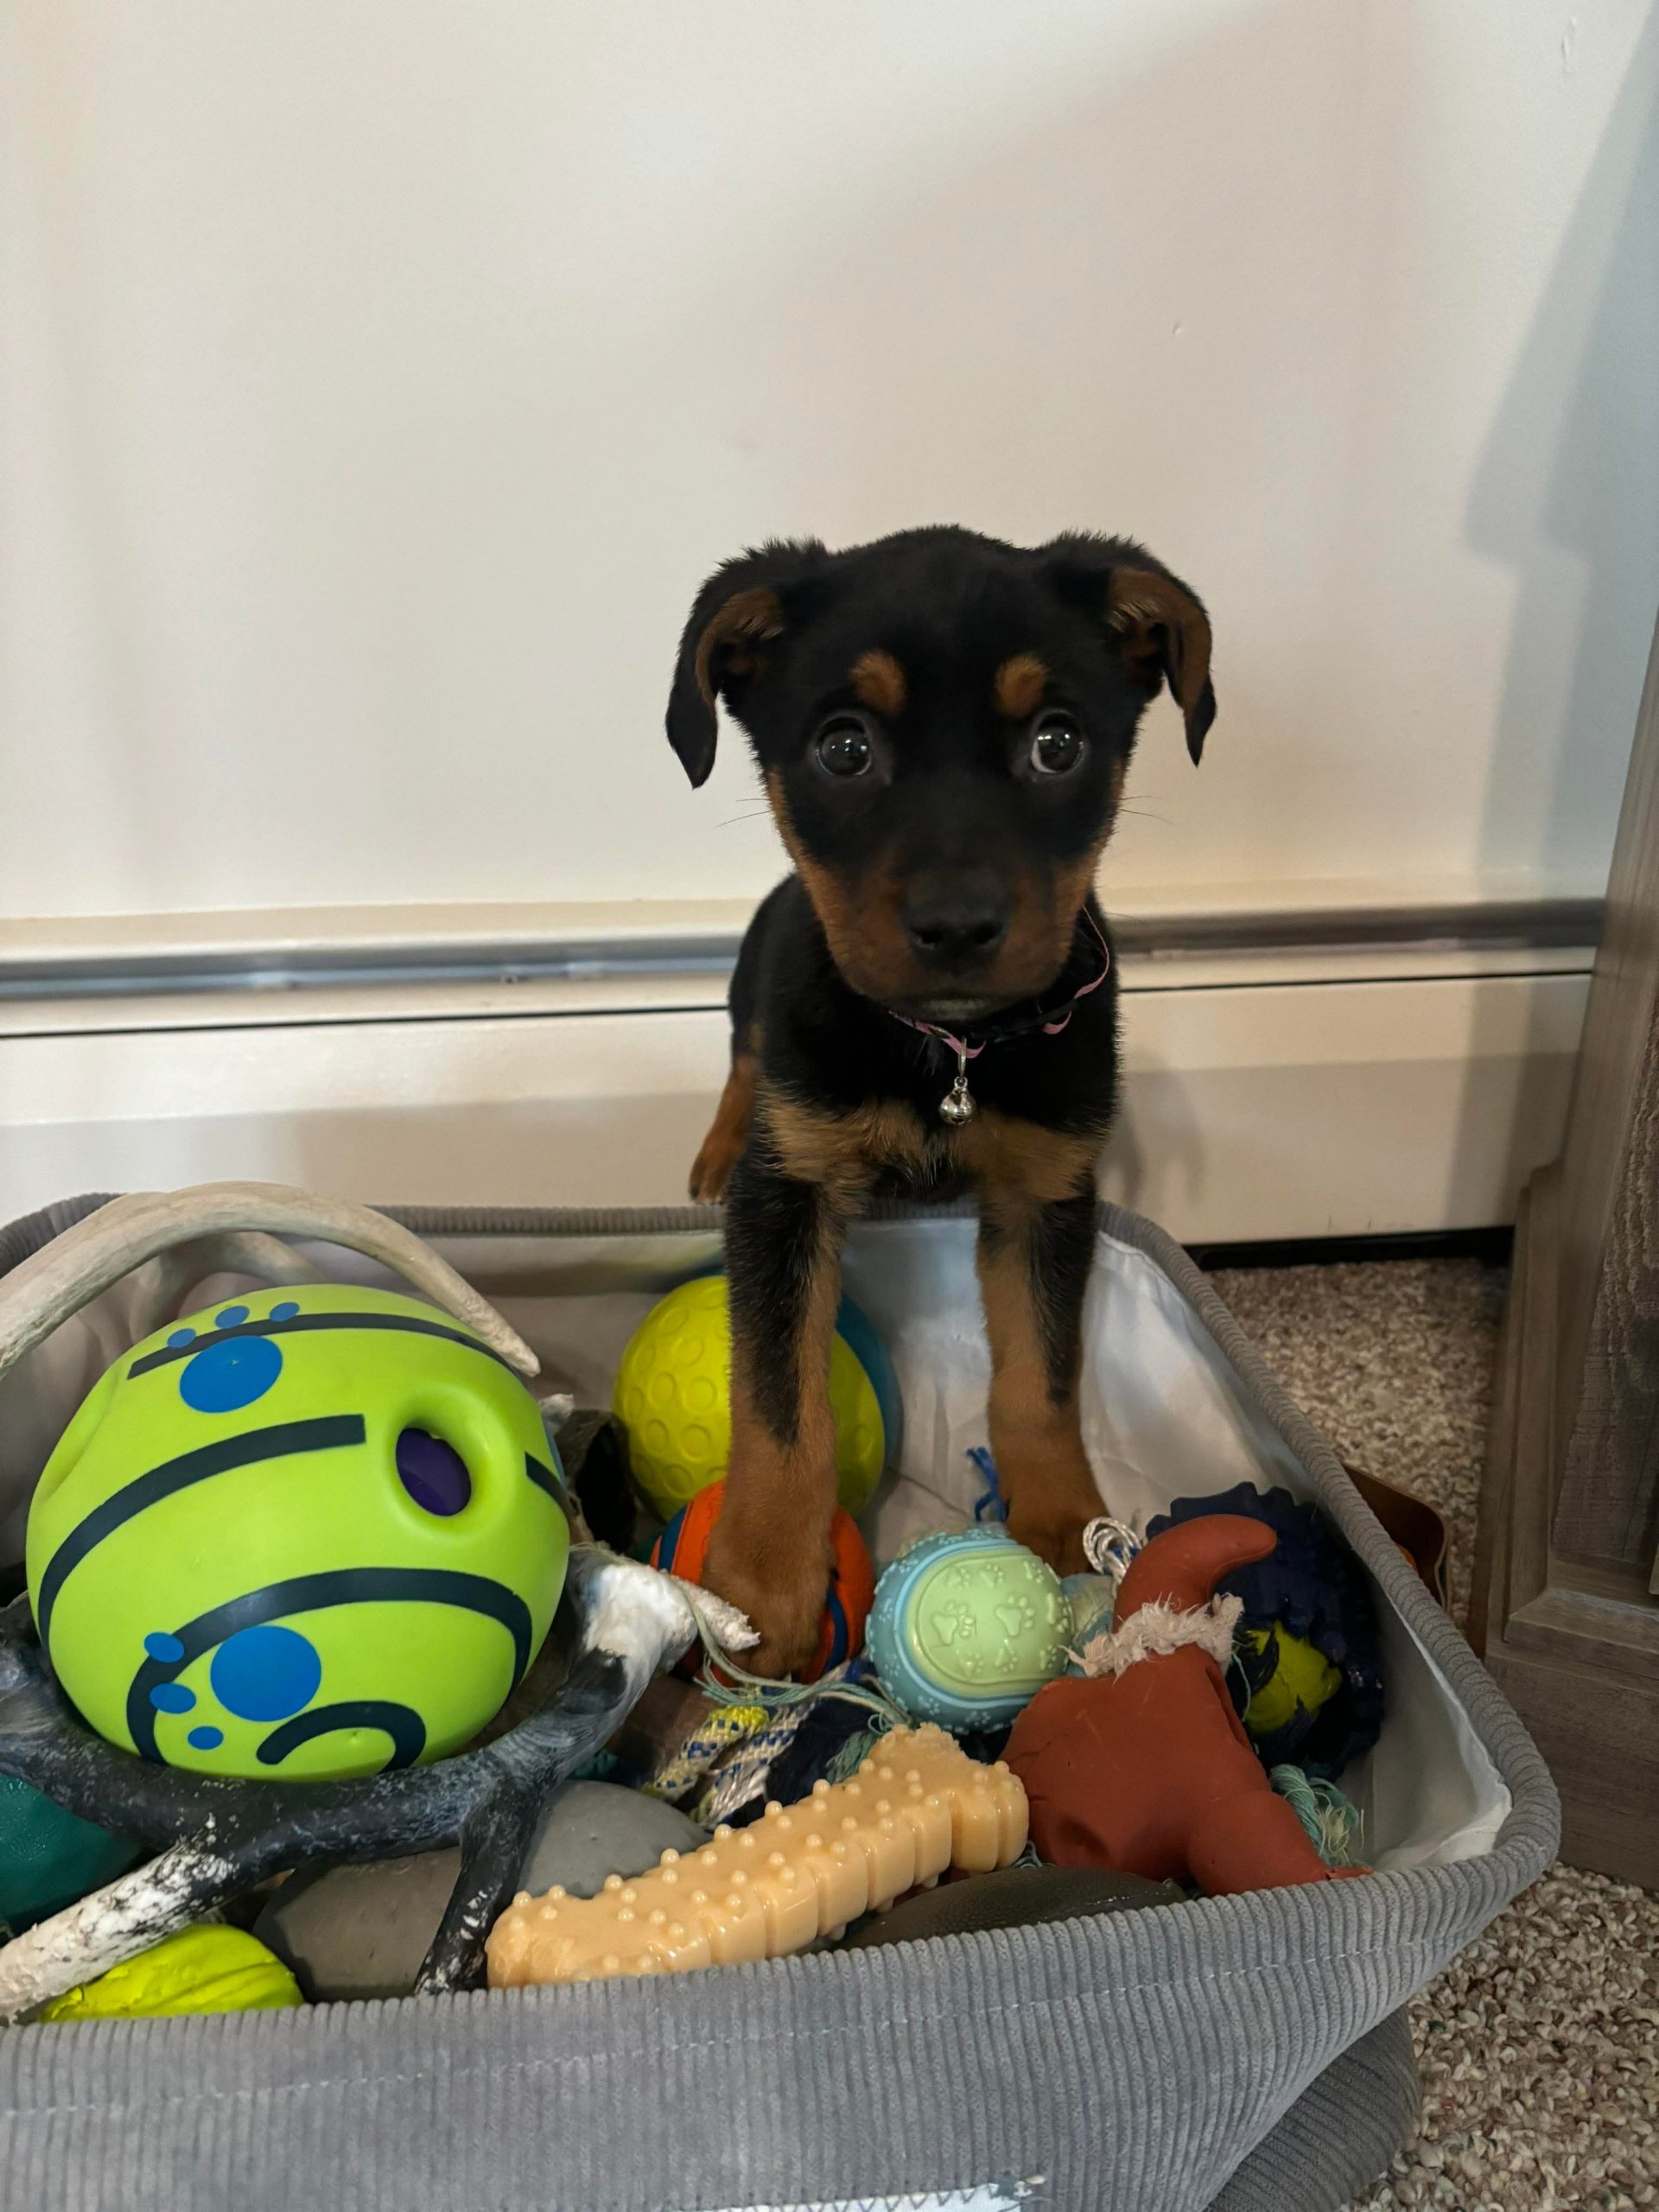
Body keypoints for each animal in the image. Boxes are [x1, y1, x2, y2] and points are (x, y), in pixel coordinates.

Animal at [666, 526, 1215, 1673]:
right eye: (843, 748)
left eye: (1058, 742)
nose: (958, 924)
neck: (947, 1048)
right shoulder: (788, 1192)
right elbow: (778, 1398)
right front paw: (763, 1580)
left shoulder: (1047, 1191)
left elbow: (1041, 1377)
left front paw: (1064, 1522)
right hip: (752, 981)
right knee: (743, 1056)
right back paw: (718, 1140)